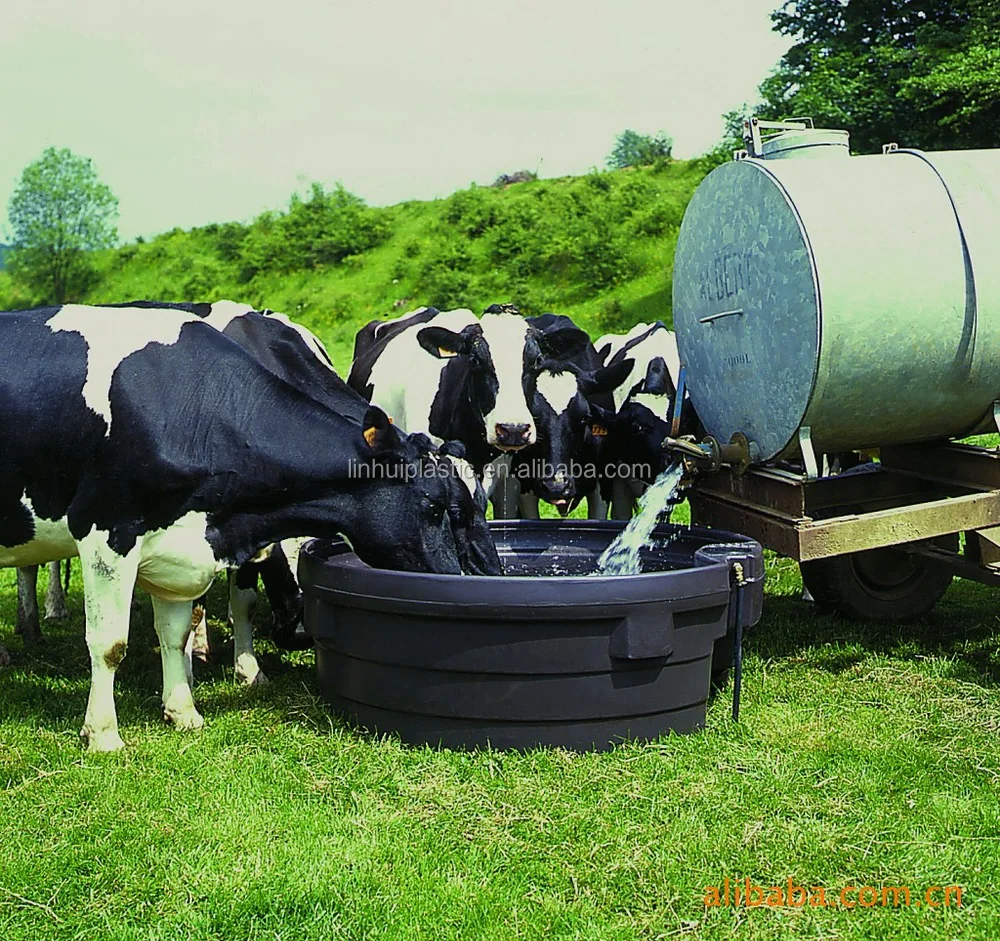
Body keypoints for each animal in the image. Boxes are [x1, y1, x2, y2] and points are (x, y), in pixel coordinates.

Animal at [0, 303, 500, 751]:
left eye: (477, 506)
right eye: (435, 507)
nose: (458, 579)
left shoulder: (187, 542)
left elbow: (177, 632)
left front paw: (184, 710)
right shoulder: (106, 530)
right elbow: (110, 643)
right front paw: (103, 735)